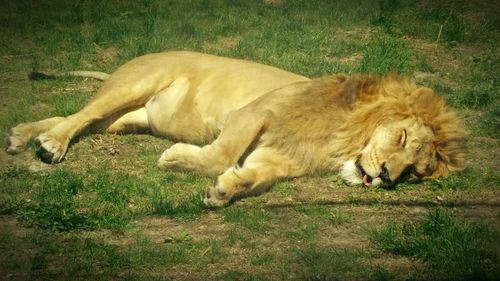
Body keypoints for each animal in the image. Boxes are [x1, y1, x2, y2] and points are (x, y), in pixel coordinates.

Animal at [4, 51, 464, 207]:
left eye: (414, 173)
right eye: (401, 138)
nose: (387, 176)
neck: (339, 139)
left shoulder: (280, 156)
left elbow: (256, 177)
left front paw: (225, 191)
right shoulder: (256, 111)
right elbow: (223, 152)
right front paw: (176, 159)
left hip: (123, 120)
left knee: (75, 118)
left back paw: (22, 134)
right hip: (135, 84)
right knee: (76, 117)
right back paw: (50, 145)